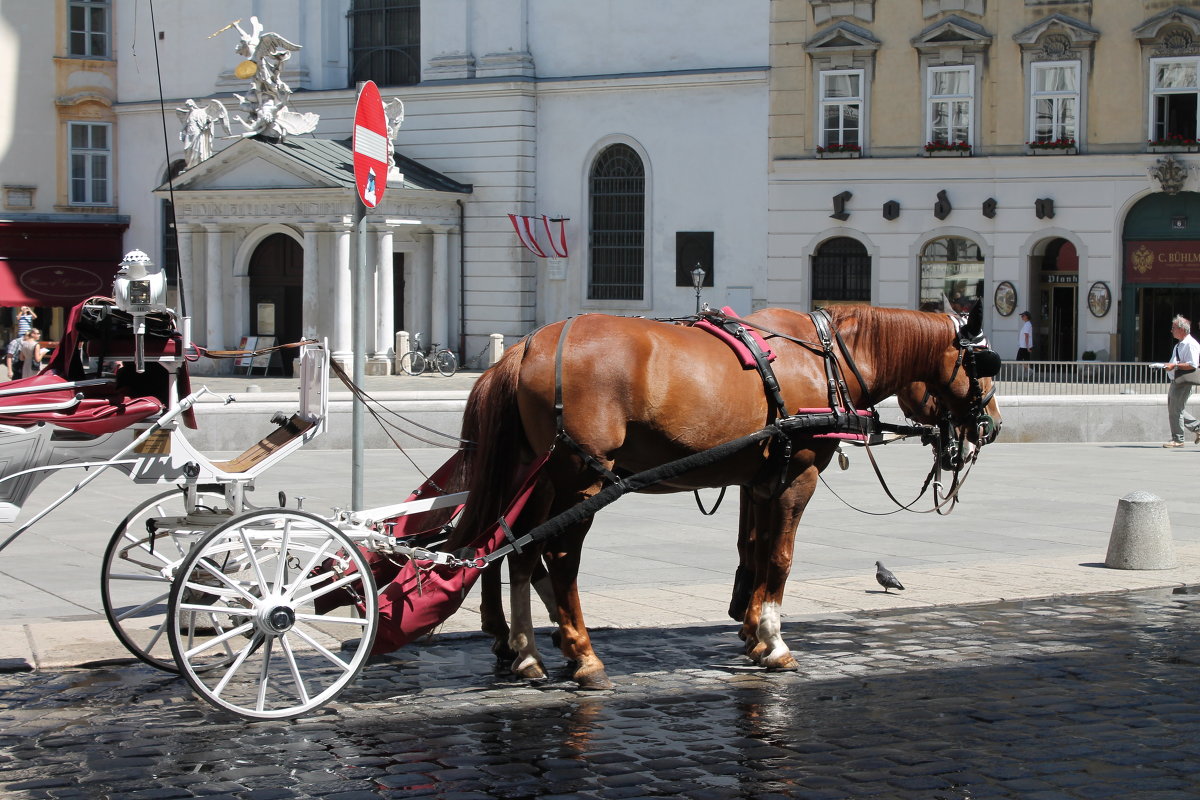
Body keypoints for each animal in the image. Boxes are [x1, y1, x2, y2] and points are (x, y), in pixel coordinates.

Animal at [446, 303, 998, 690]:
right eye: (983, 362)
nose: (989, 427)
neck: (826, 358)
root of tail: (528, 346)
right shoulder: (798, 475)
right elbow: (780, 557)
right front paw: (774, 642)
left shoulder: (761, 479)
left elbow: (754, 550)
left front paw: (752, 630)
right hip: (579, 478)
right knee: (557, 556)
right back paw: (582, 656)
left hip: (537, 476)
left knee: (516, 548)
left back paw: (526, 652)